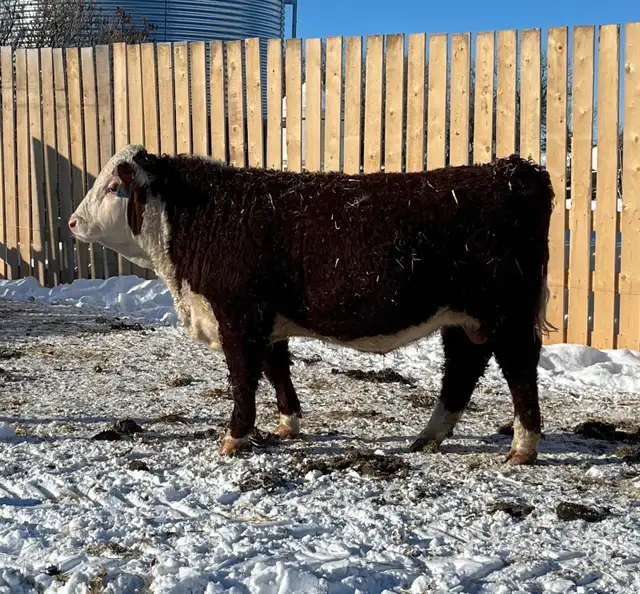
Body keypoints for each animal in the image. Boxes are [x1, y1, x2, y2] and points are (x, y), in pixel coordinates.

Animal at [69, 144, 555, 465]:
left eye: (112, 187)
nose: (73, 221)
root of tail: (513, 170)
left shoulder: (239, 314)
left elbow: (243, 377)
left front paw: (234, 437)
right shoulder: (267, 321)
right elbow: (276, 370)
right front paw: (287, 426)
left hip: (507, 313)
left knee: (518, 368)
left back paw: (522, 447)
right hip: (463, 316)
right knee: (463, 368)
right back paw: (429, 437)